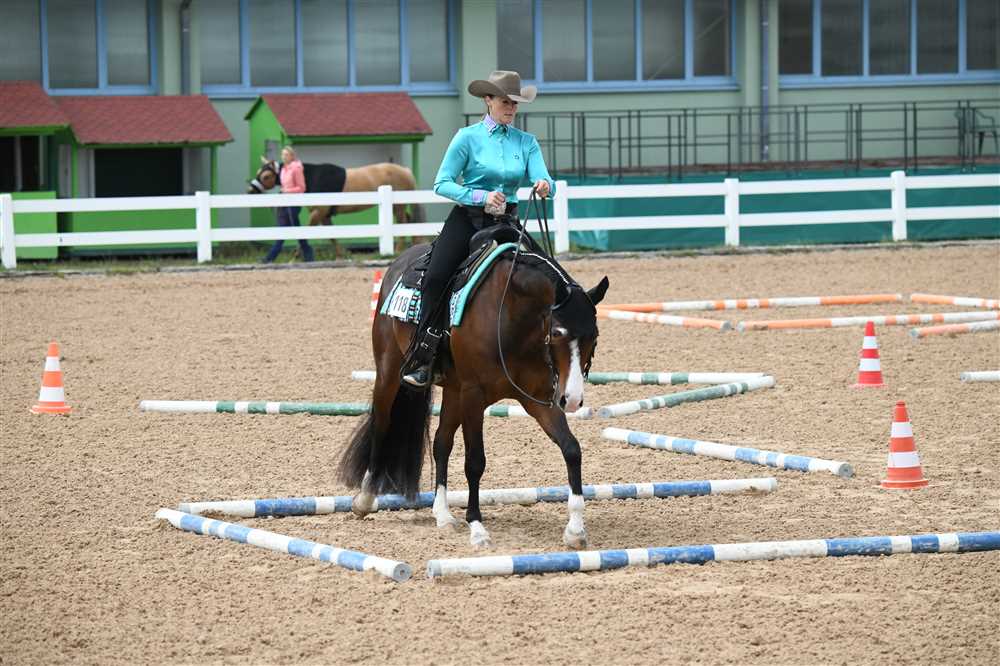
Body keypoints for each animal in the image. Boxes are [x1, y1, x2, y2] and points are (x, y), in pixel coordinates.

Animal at [248, 158, 426, 256]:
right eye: (258, 172)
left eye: (266, 175)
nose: (250, 190)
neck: (311, 178)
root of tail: (405, 170)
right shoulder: (324, 214)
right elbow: (332, 235)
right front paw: (342, 254)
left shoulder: (319, 212)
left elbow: (307, 231)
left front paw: (297, 254)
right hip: (399, 206)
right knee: (410, 221)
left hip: (399, 205)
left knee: (403, 222)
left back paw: (399, 249)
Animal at [337, 230, 610, 550]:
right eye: (557, 333)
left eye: (594, 335)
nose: (573, 400)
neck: (513, 315)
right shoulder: (474, 396)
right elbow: (475, 462)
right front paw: (477, 527)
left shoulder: (539, 399)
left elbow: (571, 449)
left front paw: (576, 530)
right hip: (389, 373)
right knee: (382, 423)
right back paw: (366, 498)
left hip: (453, 391)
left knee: (440, 443)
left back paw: (442, 514)